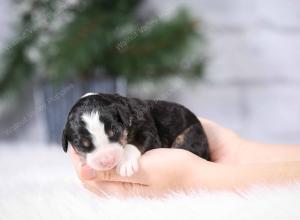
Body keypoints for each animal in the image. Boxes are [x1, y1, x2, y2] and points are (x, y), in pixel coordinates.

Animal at [62, 93, 210, 177]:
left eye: (115, 131)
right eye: (82, 144)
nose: (108, 160)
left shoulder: (149, 132)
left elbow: (135, 143)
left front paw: (125, 164)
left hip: (190, 135)